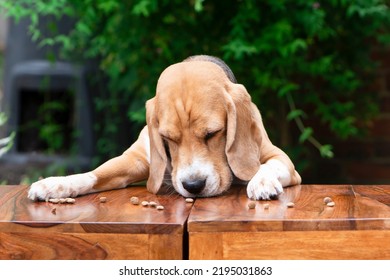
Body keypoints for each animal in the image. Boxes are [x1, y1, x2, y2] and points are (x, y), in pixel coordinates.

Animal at [28, 54, 302, 200]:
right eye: (168, 138)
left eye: (213, 134)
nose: (194, 186)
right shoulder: (136, 159)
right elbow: (93, 174)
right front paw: (55, 184)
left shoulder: (282, 159)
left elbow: (268, 165)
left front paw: (262, 181)